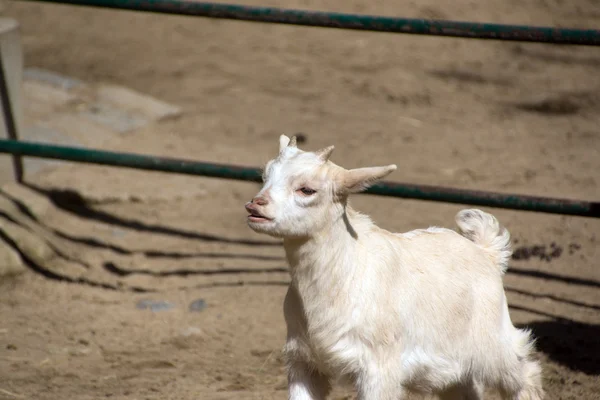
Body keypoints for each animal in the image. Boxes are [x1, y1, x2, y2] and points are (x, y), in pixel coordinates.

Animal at [244, 136, 544, 398]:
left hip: (493, 342)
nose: (255, 205)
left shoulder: (379, 367)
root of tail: (486, 251)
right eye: (265, 177)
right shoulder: (303, 362)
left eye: (307, 189)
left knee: (526, 373)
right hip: (453, 364)